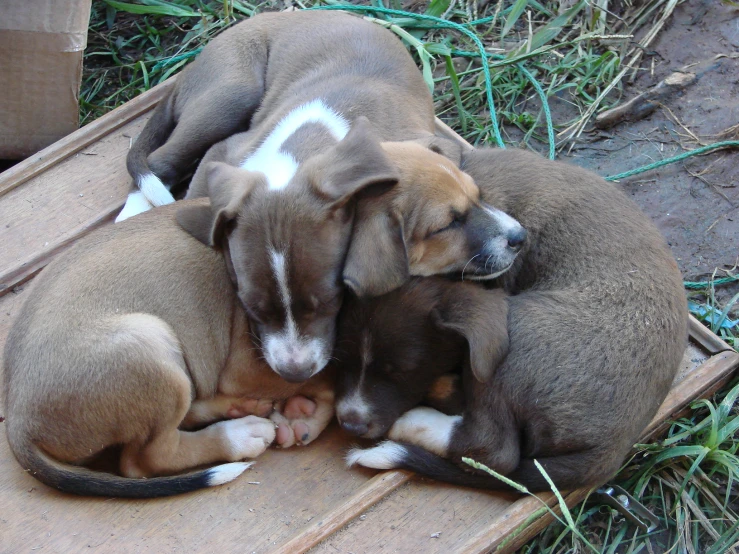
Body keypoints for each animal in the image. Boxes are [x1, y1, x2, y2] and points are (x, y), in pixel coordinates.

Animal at [1, 198, 334, 496]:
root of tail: (17, 423)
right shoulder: (250, 365)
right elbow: (325, 380)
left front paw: (304, 418)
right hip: (150, 348)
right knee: (147, 458)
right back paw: (238, 435)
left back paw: (241, 408)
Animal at [338, 149, 692, 490]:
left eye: (404, 371)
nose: (520, 237)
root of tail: (610, 450)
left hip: (511, 335)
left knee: (491, 449)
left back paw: (415, 420)